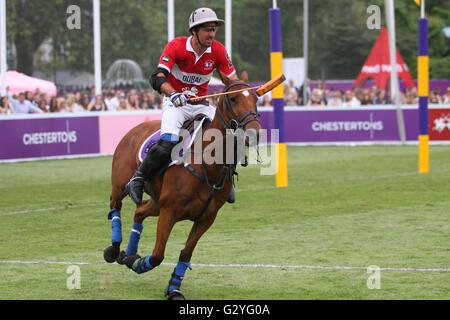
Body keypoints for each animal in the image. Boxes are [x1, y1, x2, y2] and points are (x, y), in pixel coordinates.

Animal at [103, 77, 260, 300]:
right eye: (233, 98)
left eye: (256, 98)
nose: (254, 133)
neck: (208, 163)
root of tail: (136, 128)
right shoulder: (169, 211)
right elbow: (158, 255)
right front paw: (137, 263)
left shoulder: (206, 217)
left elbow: (186, 253)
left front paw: (173, 288)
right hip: (121, 184)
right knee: (115, 206)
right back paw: (115, 249)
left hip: (157, 201)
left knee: (140, 211)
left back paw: (129, 252)